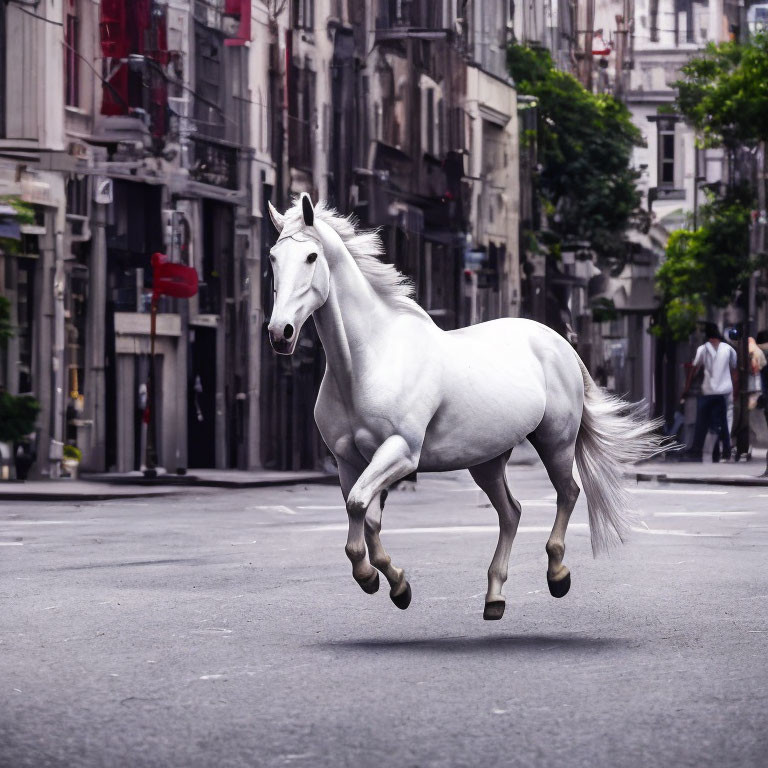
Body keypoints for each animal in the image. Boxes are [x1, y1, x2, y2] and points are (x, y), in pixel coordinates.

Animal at [266, 195, 660, 620]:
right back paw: (494, 597)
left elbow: (359, 508)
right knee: (511, 511)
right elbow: (364, 518)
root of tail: (560, 343)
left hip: (556, 440)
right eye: (272, 256)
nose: (280, 333)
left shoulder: (401, 453)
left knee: (568, 492)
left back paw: (557, 575)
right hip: (486, 460)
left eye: (311, 256)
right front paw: (392, 583)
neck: (366, 362)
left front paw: (378, 579)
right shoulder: (349, 463)